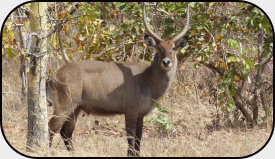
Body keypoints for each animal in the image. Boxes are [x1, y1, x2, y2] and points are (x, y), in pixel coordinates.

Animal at [47, 2, 190, 157]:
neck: (147, 78)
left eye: (174, 48)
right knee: (52, 126)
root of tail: (54, 76)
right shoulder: (130, 112)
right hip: (65, 105)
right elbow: (130, 139)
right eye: (158, 47)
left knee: (66, 132)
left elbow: (139, 139)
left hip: (77, 108)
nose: (166, 62)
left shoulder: (140, 115)